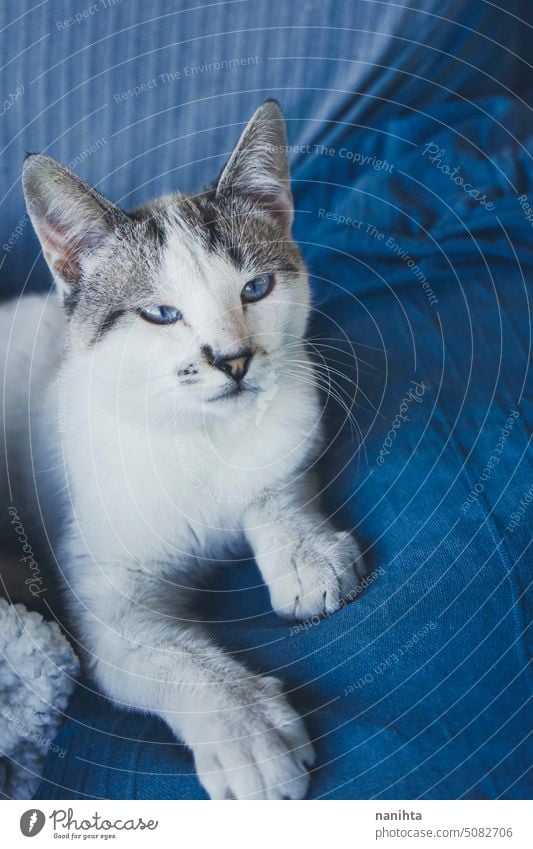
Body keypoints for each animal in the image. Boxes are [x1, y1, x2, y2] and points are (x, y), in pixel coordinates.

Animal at [0, 102, 364, 800]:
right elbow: (174, 656)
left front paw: (306, 553)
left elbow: (274, 486)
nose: (234, 359)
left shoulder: (294, 427)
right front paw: (249, 731)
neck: (199, 436)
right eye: (162, 315)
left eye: (256, 288)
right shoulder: (105, 598)